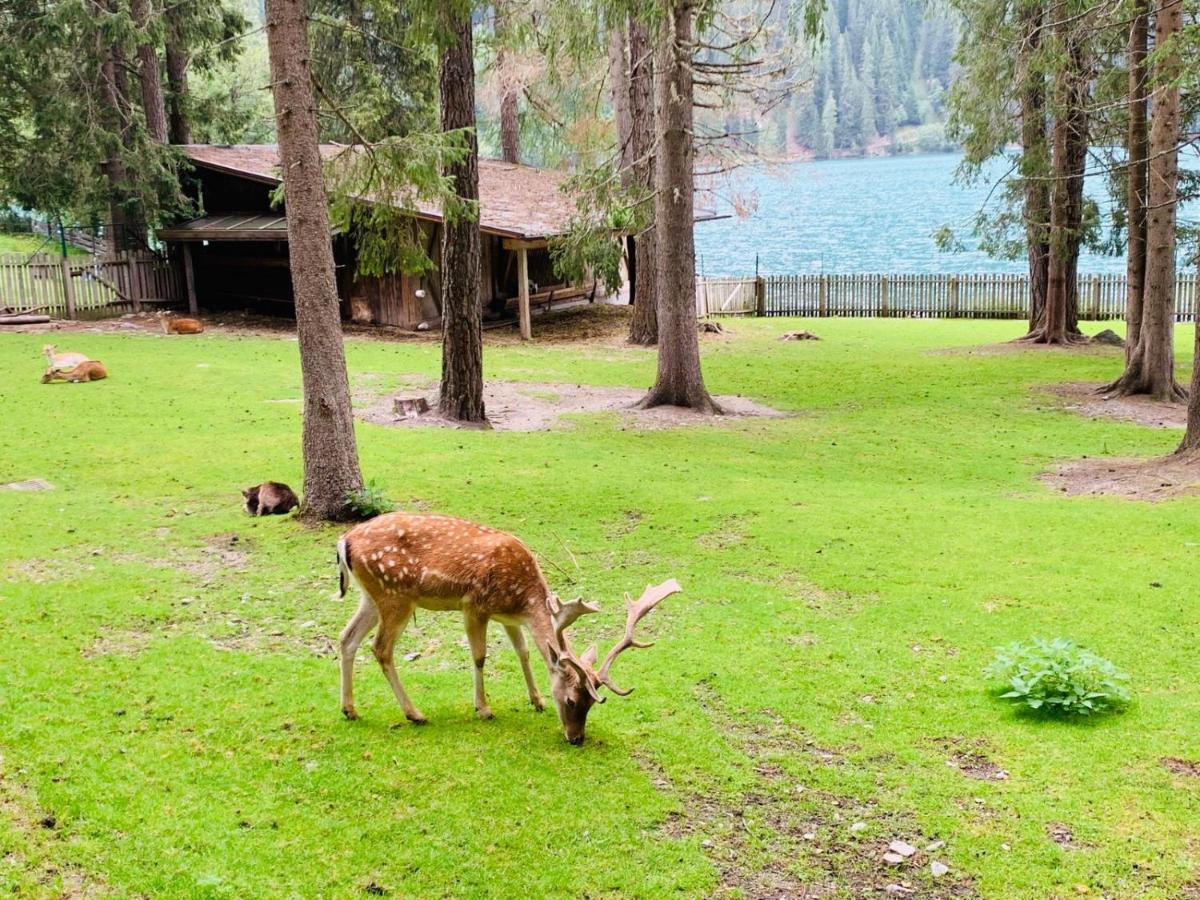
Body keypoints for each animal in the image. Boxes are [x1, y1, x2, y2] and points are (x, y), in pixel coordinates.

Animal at [336, 513, 686, 748]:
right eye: (572, 700)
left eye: (591, 703)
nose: (576, 738)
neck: (523, 598)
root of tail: (344, 541)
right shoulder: (474, 605)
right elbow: (479, 657)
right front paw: (483, 708)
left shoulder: (508, 618)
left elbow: (524, 652)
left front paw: (537, 700)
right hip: (396, 595)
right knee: (380, 648)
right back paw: (414, 713)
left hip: (371, 596)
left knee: (346, 638)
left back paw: (350, 709)